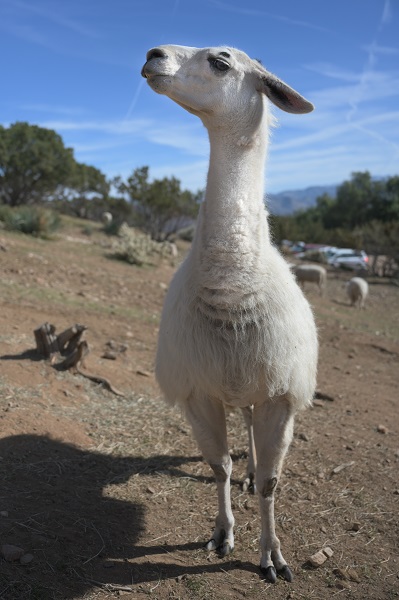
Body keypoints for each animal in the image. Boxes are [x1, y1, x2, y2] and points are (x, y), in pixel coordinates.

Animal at [141, 43, 318, 580]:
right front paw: (222, 535)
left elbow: (271, 484)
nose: (153, 54)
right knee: (243, 428)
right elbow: (219, 466)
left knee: (257, 446)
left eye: (220, 61)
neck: (232, 292)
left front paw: (273, 556)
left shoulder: (282, 394)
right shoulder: (199, 390)